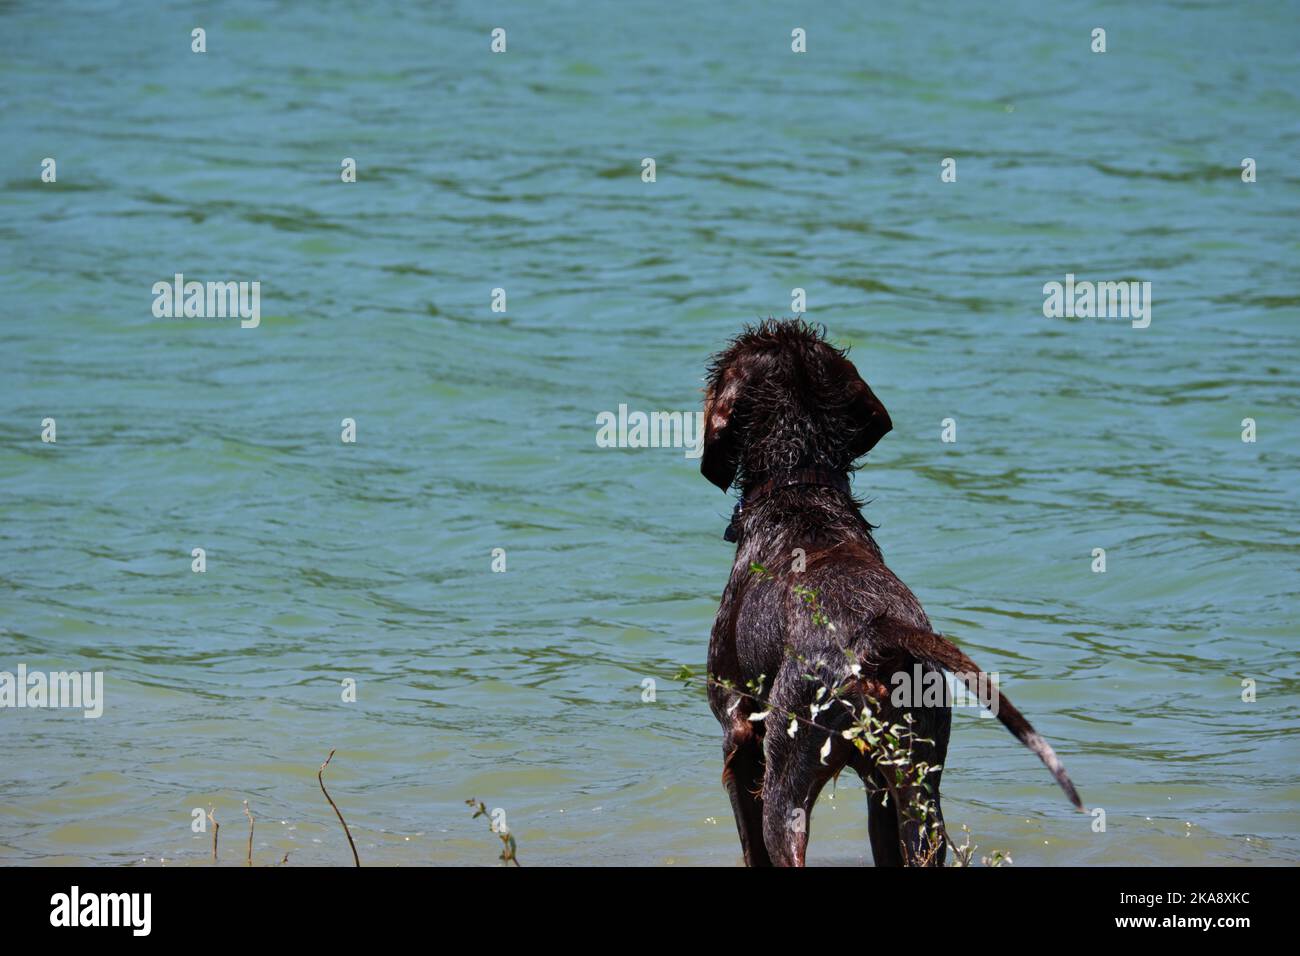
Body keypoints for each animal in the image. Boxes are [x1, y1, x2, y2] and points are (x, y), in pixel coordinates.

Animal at [696, 321, 1081, 868]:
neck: (800, 491)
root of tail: (877, 629)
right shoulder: (880, 788)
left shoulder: (738, 734)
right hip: (919, 790)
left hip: (787, 780)